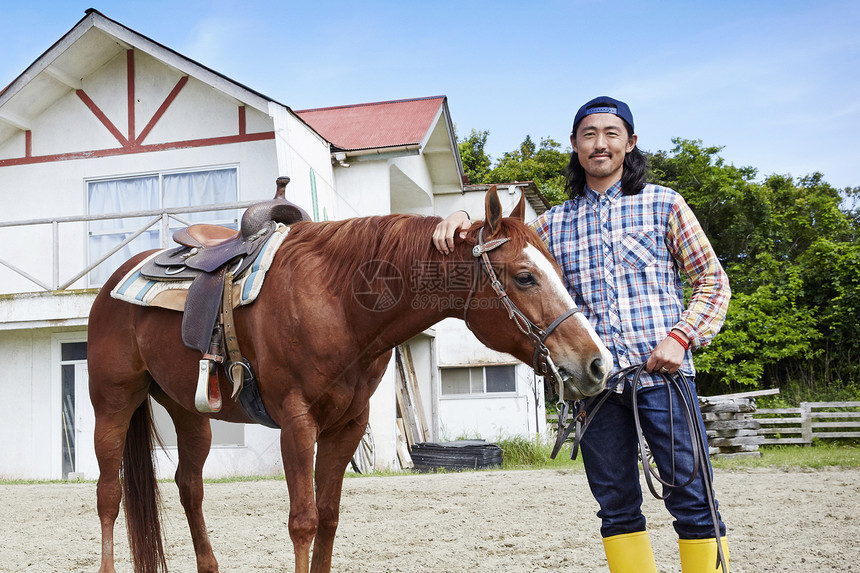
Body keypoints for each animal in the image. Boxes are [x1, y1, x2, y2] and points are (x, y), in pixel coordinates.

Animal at [87, 185, 612, 568]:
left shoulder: (347, 426)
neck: (337, 301)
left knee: (189, 487)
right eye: (525, 276)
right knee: (109, 494)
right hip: (112, 403)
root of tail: (114, 282)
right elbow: (303, 521)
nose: (598, 363)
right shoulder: (297, 423)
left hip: (188, 410)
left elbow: (329, 518)